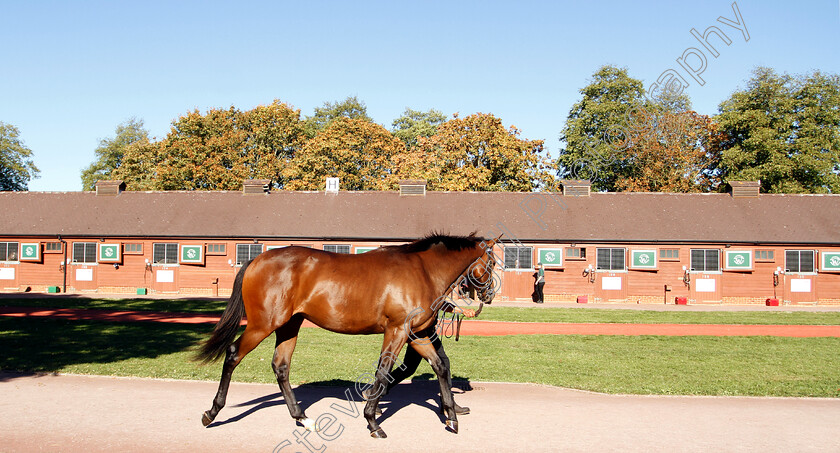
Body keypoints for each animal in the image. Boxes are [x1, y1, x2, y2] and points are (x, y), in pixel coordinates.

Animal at [197, 231, 498, 436]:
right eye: (493, 262)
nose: (490, 295)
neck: (422, 269)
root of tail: (256, 259)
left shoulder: (416, 334)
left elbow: (439, 367)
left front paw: (452, 417)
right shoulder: (397, 330)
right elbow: (383, 372)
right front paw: (373, 420)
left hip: (289, 326)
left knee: (281, 367)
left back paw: (302, 417)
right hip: (263, 324)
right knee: (233, 356)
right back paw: (212, 412)